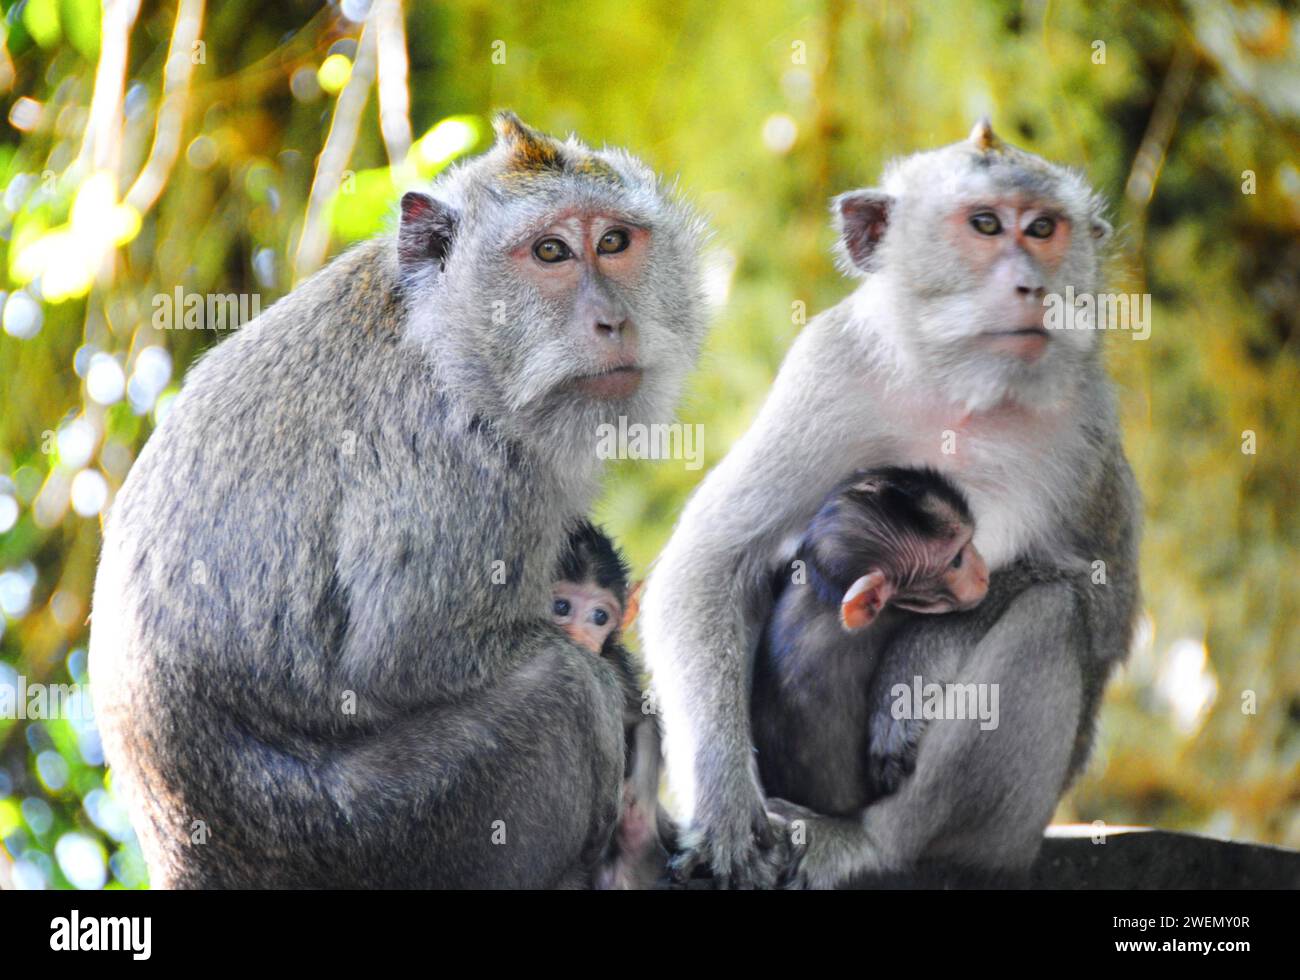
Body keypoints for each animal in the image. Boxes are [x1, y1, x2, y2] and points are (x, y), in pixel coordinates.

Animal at [551, 519, 670, 883]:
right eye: (561, 608)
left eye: (600, 617)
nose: (581, 638)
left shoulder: (611, 666)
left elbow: (644, 721)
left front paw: (636, 829)